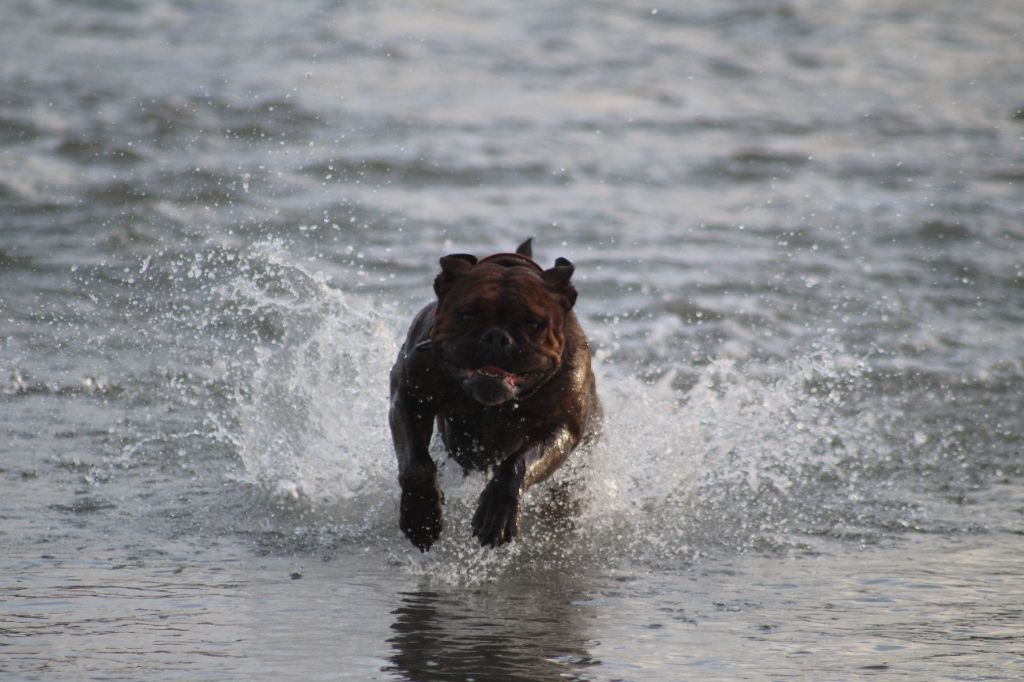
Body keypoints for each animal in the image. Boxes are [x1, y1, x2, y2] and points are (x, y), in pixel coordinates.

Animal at [389, 238, 598, 548]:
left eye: (532, 323)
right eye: (468, 315)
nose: (497, 337)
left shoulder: (560, 424)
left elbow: (518, 463)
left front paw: (497, 512)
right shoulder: (410, 397)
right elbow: (416, 463)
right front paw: (421, 516)